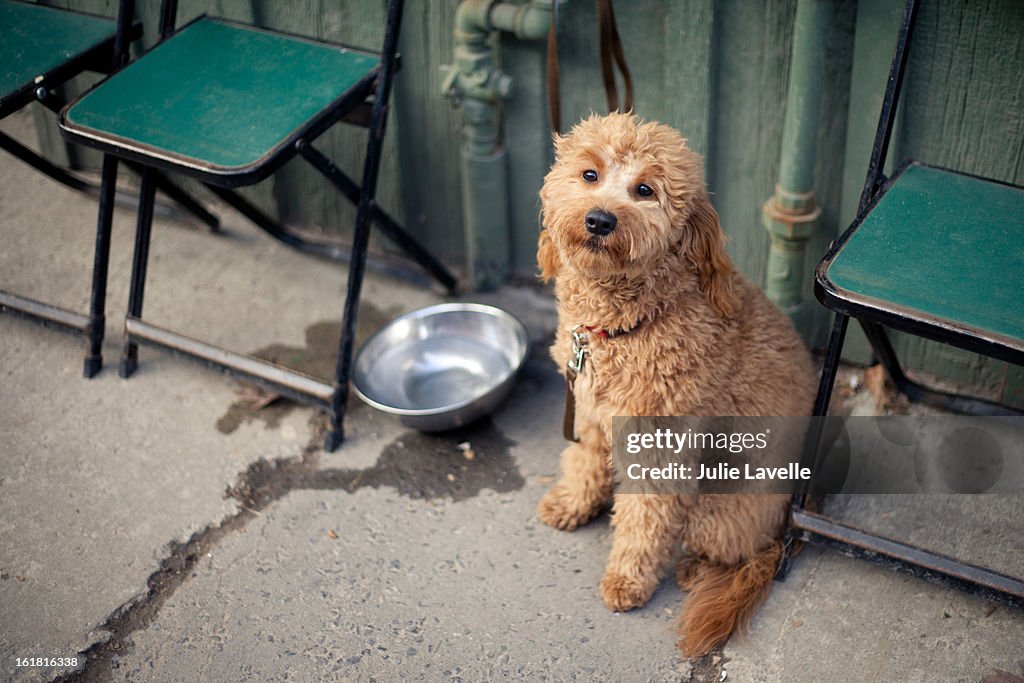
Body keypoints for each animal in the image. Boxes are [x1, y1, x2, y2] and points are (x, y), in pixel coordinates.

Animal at [536, 112, 815, 655]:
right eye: (589, 174)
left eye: (645, 190)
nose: (600, 220)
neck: (630, 322)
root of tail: (786, 528)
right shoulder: (591, 412)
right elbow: (585, 462)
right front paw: (573, 502)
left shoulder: (658, 445)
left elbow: (644, 520)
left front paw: (627, 580)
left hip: (719, 508)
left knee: (734, 551)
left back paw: (694, 569)